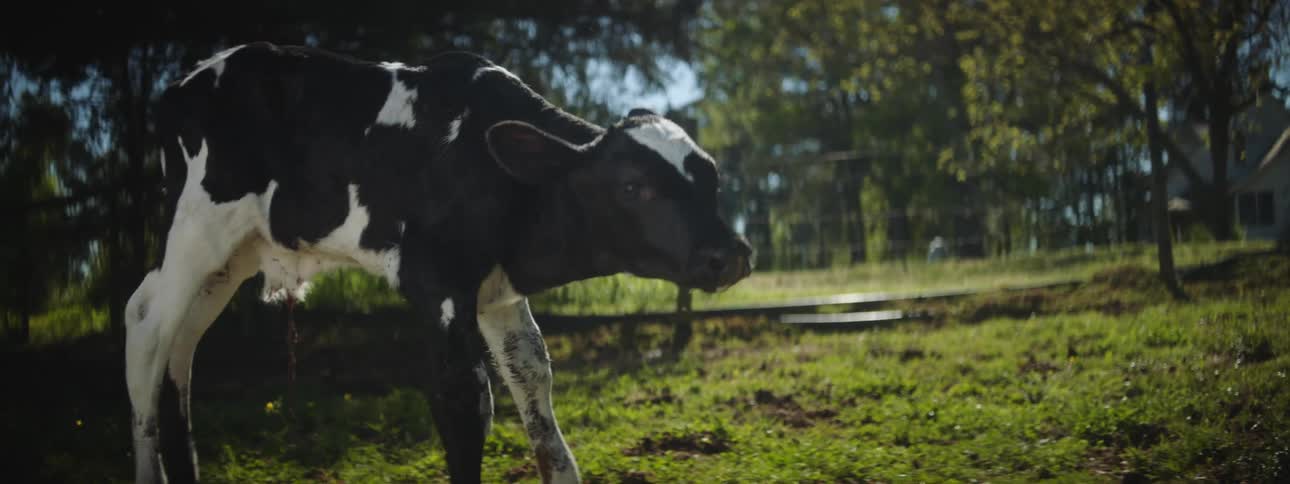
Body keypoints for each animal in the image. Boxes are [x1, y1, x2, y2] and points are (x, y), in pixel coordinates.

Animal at [123, 41, 752, 484]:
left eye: (713, 178)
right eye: (631, 186)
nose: (731, 255)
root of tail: (183, 84)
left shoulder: (497, 294)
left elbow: (534, 379)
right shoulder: (438, 284)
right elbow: (464, 402)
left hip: (233, 254)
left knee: (183, 344)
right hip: (196, 226)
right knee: (148, 323)